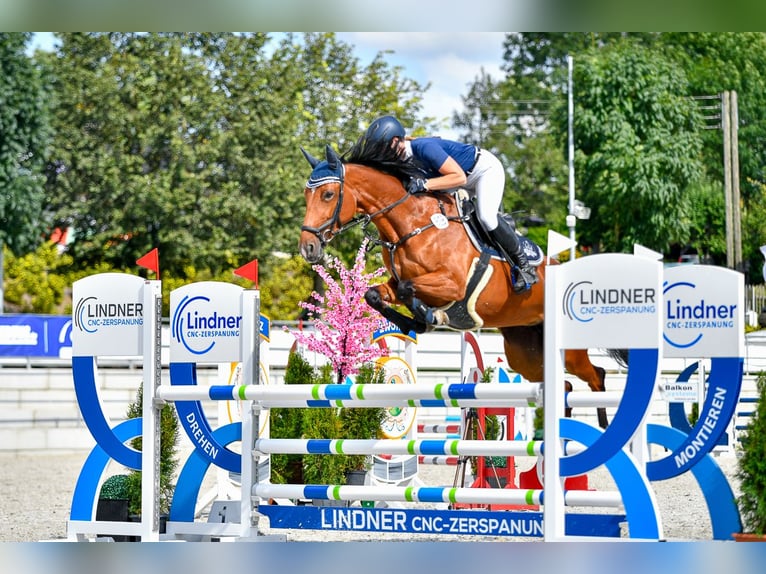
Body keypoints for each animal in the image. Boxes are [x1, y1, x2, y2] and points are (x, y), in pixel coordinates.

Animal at [300, 144, 612, 432]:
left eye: (328, 195)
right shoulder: (394, 284)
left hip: (566, 350)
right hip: (525, 353)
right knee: (566, 387)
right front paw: (413, 322)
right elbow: (375, 294)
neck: (412, 224)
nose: (308, 248)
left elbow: (409, 289)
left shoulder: (453, 285)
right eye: (306, 195)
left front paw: (429, 317)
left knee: (596, 375)